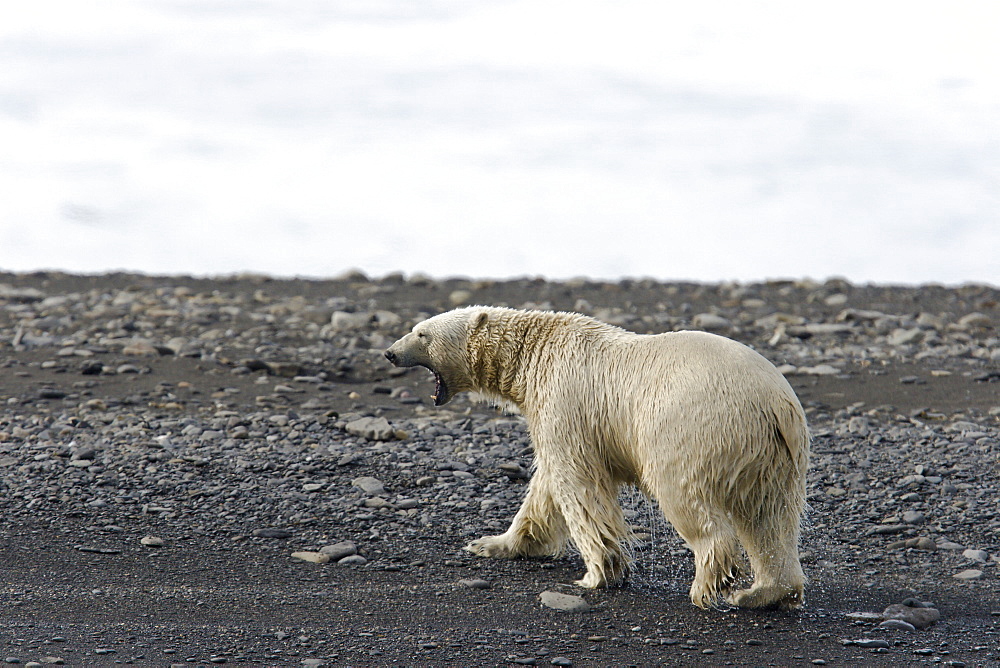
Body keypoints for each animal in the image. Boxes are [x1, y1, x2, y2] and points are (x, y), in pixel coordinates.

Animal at [384, 308, 812, 612]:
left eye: (422, 333)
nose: (389, 352)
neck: (536, 352)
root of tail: (775, 403)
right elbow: (545, 490)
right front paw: (492, 543)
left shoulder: (567, 402)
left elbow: (578, 486)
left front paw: (598, 573)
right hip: (773, 454)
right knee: (770, 516)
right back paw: (765, 592)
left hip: (691, 429)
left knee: (689, 501)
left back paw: (708, 585)